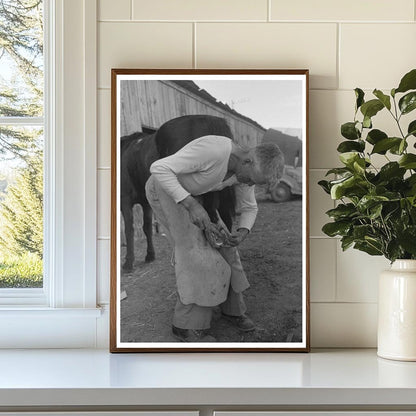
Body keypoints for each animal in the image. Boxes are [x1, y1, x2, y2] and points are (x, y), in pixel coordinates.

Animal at [122, 114, 236, 272]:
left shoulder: (124, 200)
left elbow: (129, 229)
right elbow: (146, 227)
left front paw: (128, 262)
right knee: (224, 220)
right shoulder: (145, 203)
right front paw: (149, 255)